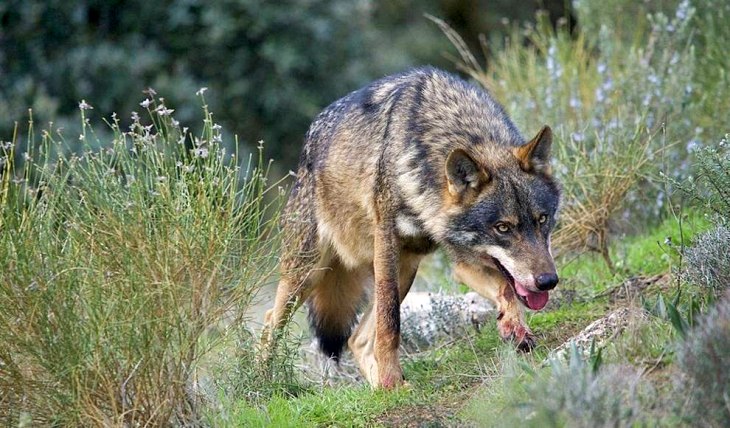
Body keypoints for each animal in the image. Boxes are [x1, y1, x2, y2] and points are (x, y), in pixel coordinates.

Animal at [262, 67, 561, 388]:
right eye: (503, 228)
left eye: (542, 219)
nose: (548, 281)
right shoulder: (387, 244)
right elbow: (390, 323)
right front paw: (391, 378)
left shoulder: (462, 260)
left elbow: (506, 288)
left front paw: (514, 327)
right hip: (309, 274)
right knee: (270, 323)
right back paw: (264, 382)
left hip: (405, 269)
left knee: (357, 339)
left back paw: (380, 389)